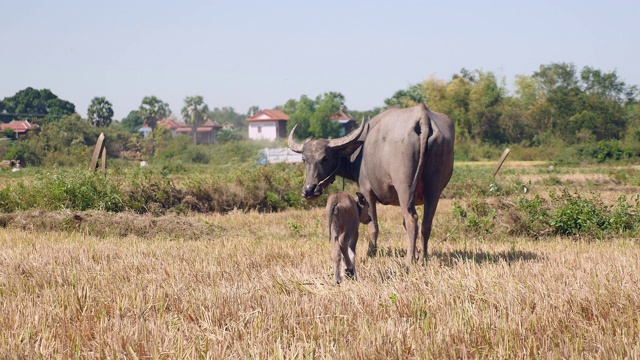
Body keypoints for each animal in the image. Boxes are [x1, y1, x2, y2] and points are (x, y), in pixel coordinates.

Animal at [290, 104, 456, 264]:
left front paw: (371, 253)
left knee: (412, 219)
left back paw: (409, 261)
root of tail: (423, 118)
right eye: (304, 159)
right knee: (426, 223)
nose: (309, 190)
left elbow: (373, 225)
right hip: (434, 189)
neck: (359, 153)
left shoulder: (366, 192)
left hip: (404, 187)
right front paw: (415, 254)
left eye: (325, 158)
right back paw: (423, 258)